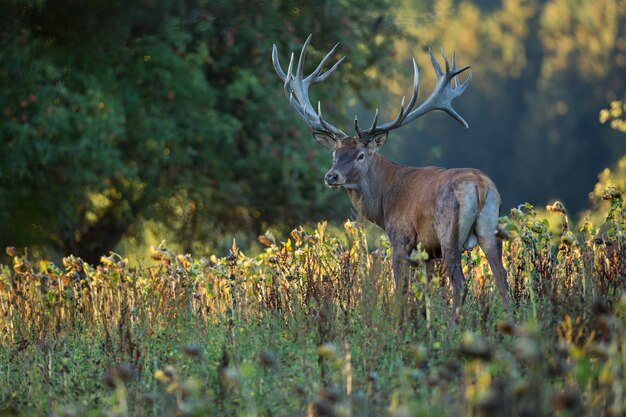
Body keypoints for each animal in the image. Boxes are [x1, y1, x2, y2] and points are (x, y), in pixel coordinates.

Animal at [270, 35, 510, 316]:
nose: (331, 177)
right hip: (489, 228)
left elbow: (401, 290)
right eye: (335, 153)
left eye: (361, 155)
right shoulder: (427, 251)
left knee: (460, 284)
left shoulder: (401, 238)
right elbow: (429, 294)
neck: (384, 204)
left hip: (448, 231)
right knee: (501, 277)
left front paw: (399, 321)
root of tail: (480, 186)